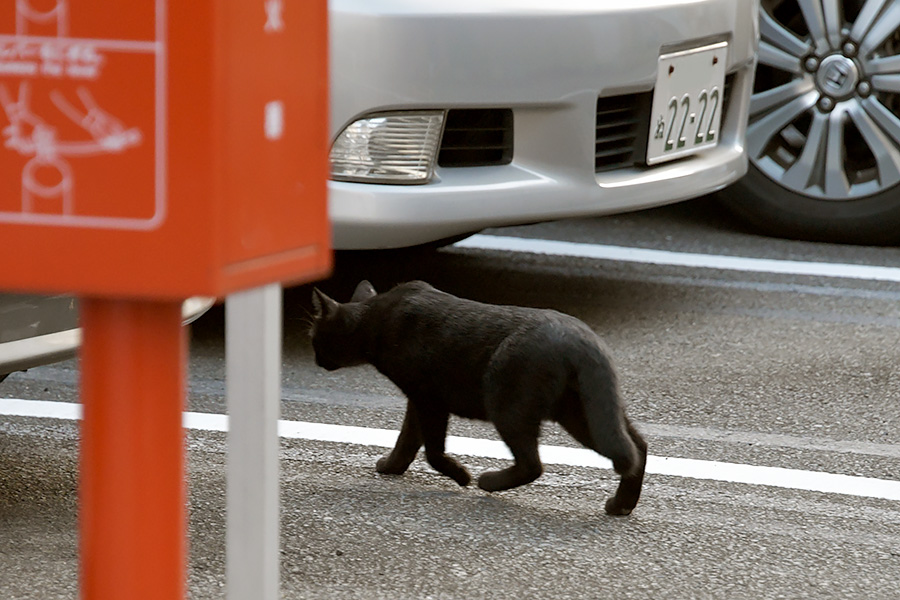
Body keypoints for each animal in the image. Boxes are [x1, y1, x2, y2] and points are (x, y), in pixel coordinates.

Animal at [310, 282, 648, 516]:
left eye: (314, 338)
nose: (315, 359)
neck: (376, 317)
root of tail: (584, 341)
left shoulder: (428, 398)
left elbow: (431, 450)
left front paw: (461, 476)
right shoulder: (416, 399)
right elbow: (408, 437)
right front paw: (392, 466)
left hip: (508, 405)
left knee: (533, 464)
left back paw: (488, 482)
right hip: (586, 413)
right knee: (637, 447)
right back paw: (621, 505)